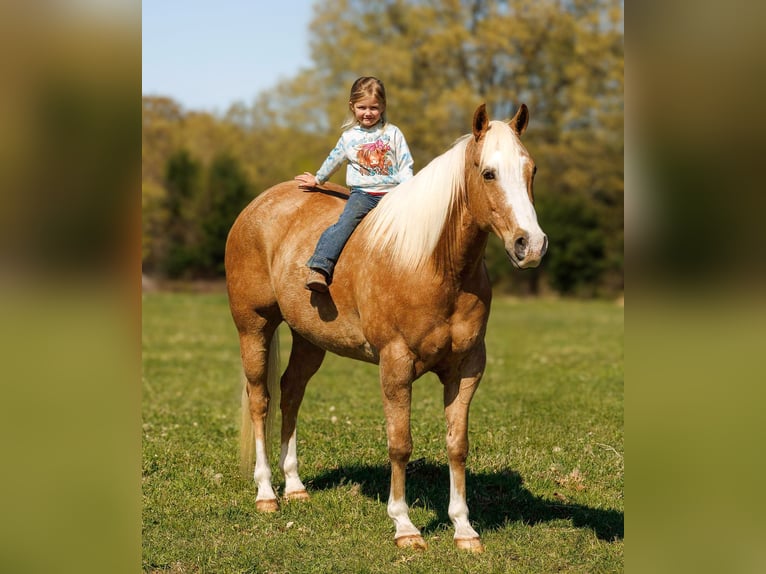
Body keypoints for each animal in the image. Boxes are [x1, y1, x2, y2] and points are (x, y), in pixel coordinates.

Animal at [225, 103, 547, 552]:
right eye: (488, 173)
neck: (432, 263)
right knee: (261, 400)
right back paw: (267, 493)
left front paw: (463, 529)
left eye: (531, 169)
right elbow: (400, 445)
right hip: (253, 325)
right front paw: (405, 526)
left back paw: (295, 487)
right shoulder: (395, 366)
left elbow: (458, 445)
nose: (530, 245)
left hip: (309, 338)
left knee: (291, 394)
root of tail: (257, 207)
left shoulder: (467, 369)